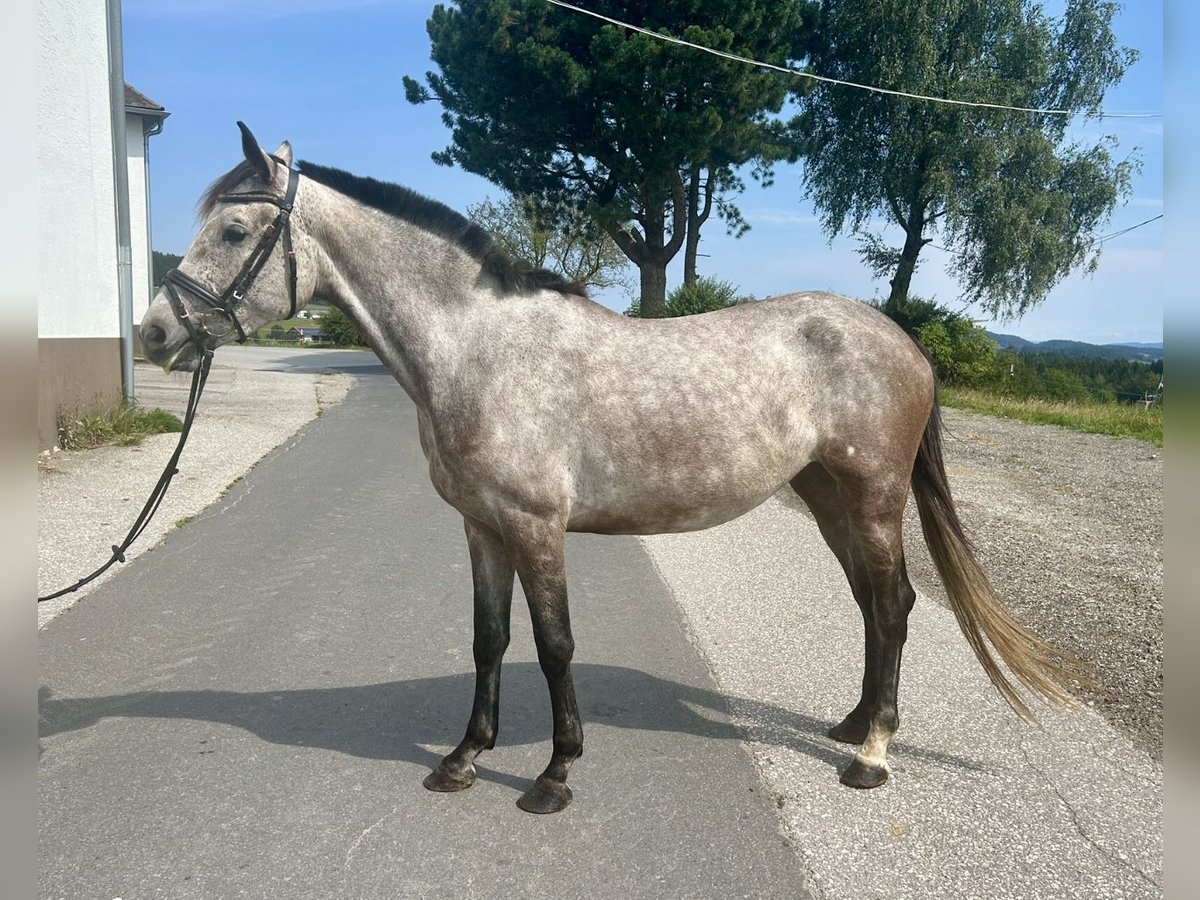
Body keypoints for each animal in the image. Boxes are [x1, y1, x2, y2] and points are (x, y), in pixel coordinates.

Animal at [138, 123, 1080, 816]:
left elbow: (555, 645)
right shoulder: (481, 527)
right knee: (872, 607)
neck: (479, 351)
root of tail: (905, 342)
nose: (153, 334)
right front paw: (462, 759)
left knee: (891, 605)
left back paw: (875, 755)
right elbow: (488, 640)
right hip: (825, 496)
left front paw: (554, 776)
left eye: (233, 230)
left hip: (875, 496)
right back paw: (852, 725)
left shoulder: (535, 526)